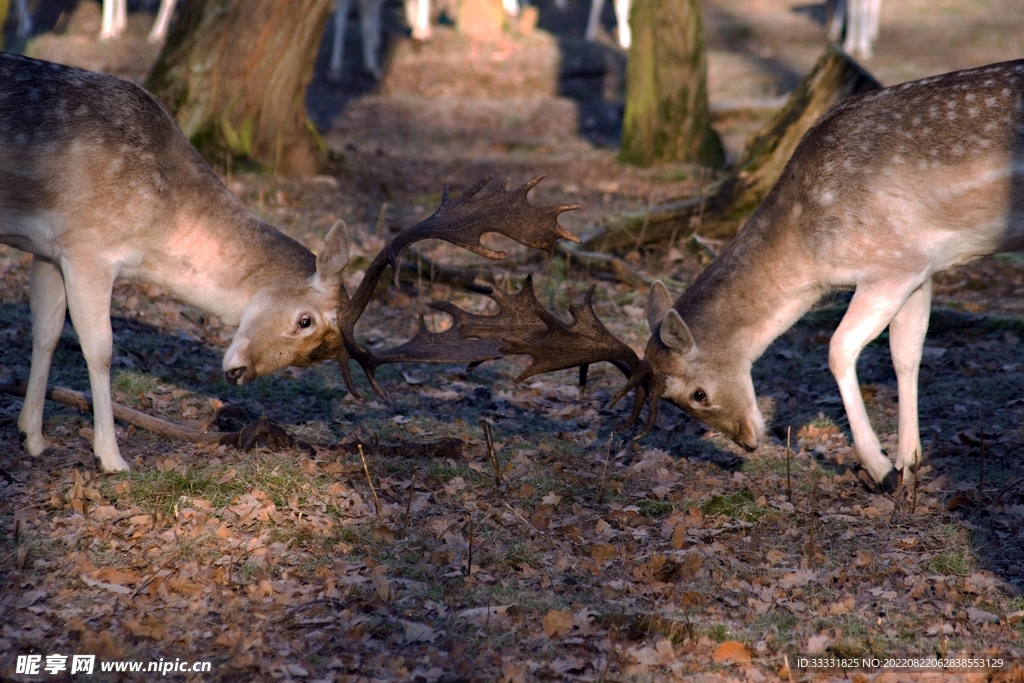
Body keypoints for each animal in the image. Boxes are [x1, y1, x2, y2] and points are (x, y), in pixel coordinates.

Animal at [0, 52, 594, 472]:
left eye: (317, 356)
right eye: (305, 320)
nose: (239, 373)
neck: (157, 220)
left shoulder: (49, 249)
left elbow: (46, 332)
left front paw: (33, 437)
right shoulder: (88, 244)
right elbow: (99, 348)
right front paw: (112, 458)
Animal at [643, 59, 1024, 492]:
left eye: (698, 394)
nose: (748, 442)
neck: (812, 259)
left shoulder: (891, 262)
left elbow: (839, 348)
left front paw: (882, 470)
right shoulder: (920, 267)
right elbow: (905, 354)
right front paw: (908, 464)